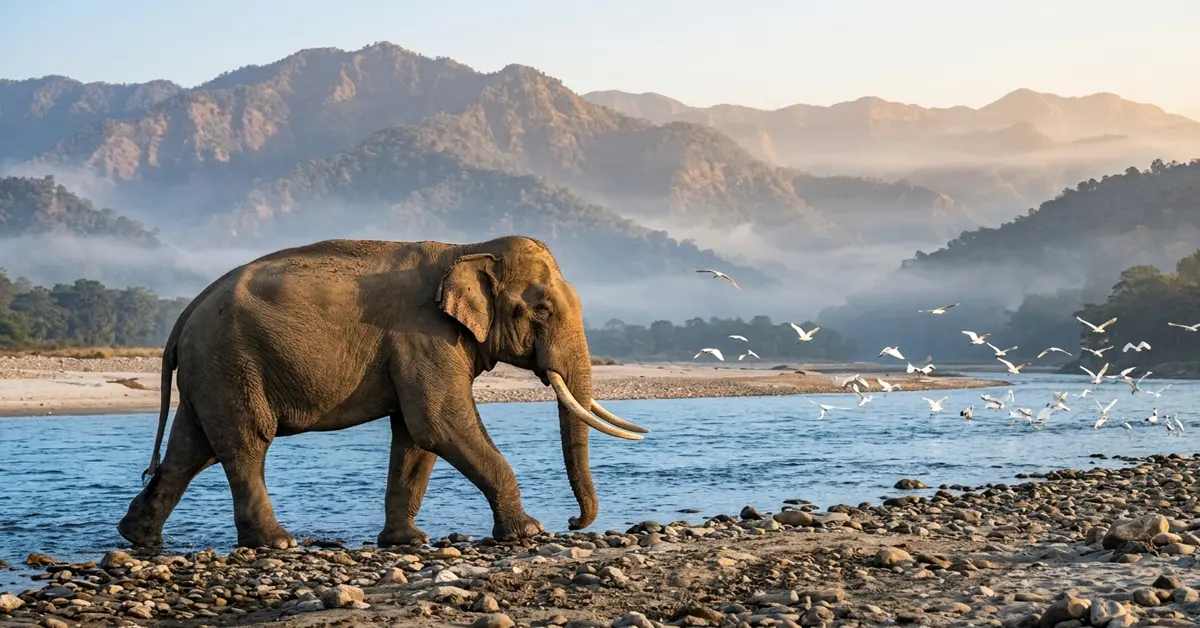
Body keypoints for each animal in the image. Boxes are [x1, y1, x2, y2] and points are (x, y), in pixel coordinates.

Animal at [116, 236, 649, 550]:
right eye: (541, 310)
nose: (574, 523)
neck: (469, 246)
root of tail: (186, 314)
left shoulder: (417, 348)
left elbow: (415, 436)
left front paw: (406, 541)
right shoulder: (424, 335)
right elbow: (439, 421)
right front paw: (530, 531)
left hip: (210, 372)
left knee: (192, 448)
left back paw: (138, 537)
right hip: (229, 362)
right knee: (245, 442)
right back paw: (277, 543)